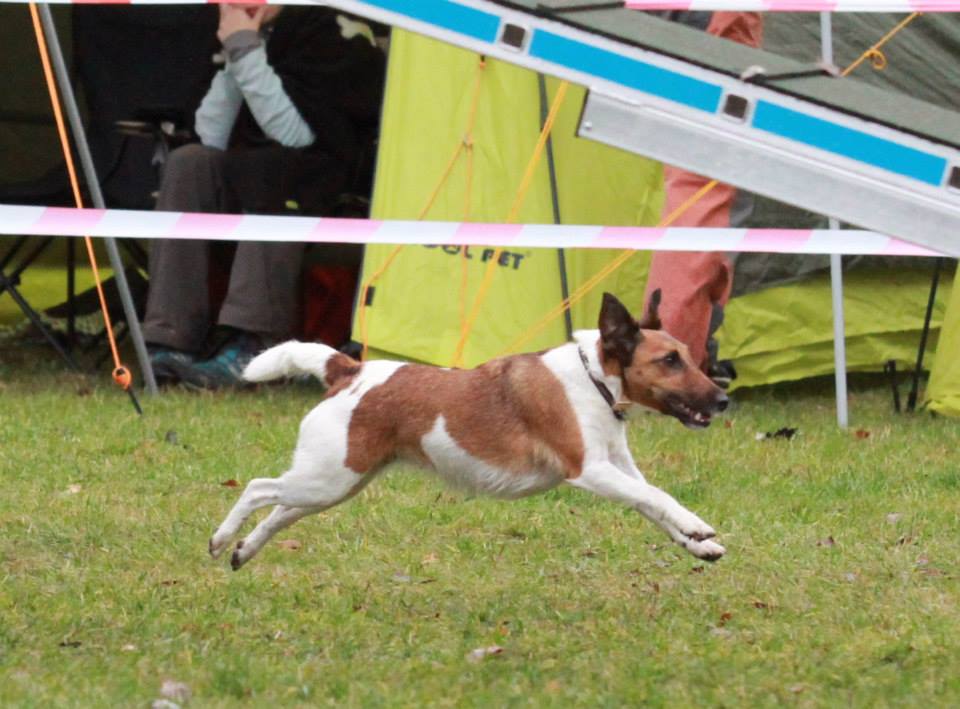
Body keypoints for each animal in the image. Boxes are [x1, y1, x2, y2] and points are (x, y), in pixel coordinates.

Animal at [209, 290, 729, 570]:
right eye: (669, 360)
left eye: (687, 355)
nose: (724, 400)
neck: (593, 379)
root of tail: (348, 370)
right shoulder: (591, 471)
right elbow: (658, 497)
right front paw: (696, 526)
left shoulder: (620, 470)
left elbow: (651, 503)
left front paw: (698, 544)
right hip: (328, 477)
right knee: (258, 489)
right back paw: (221, 538)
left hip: (336, 483)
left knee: (281, 512)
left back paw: (243, 551)